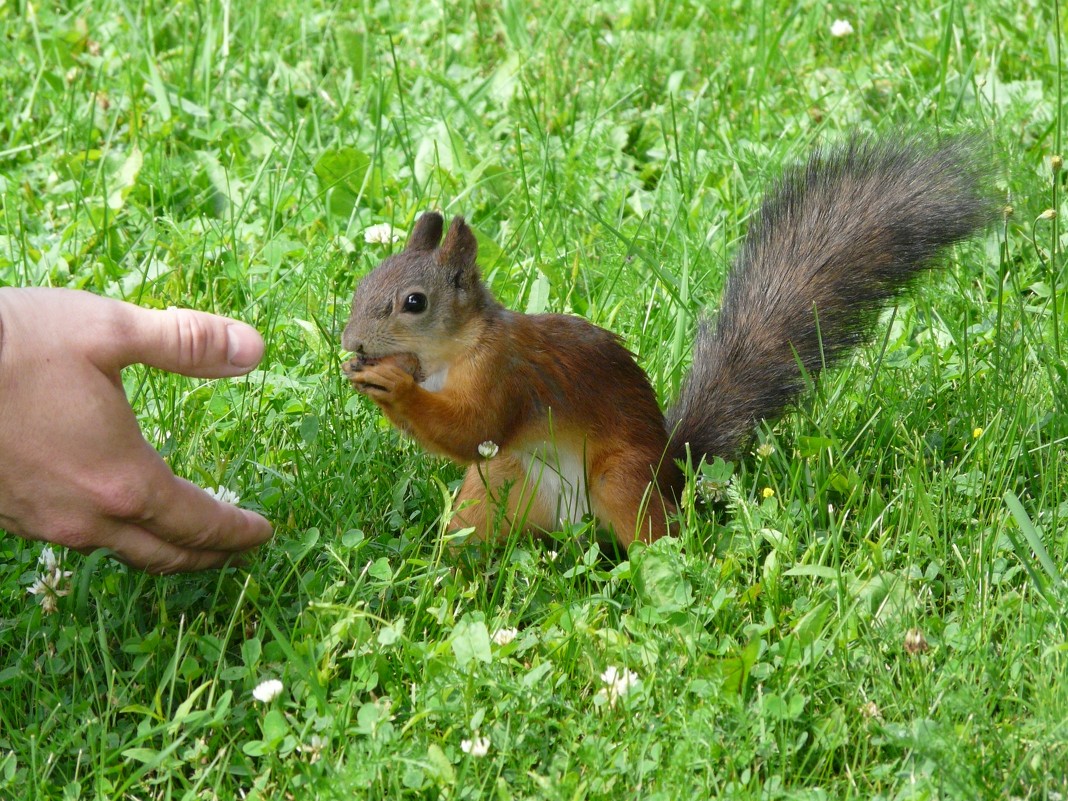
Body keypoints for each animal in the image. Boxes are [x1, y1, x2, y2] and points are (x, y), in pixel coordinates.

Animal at [343, 137, 999, 551]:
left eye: (413, 303)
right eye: (364, 282)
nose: (350, 343)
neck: (450, 354)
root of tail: (671, 474)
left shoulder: (506, 373)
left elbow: (474, 427)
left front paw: (389, 385)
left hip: (621, 480)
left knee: (655, 537)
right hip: (499, 488)